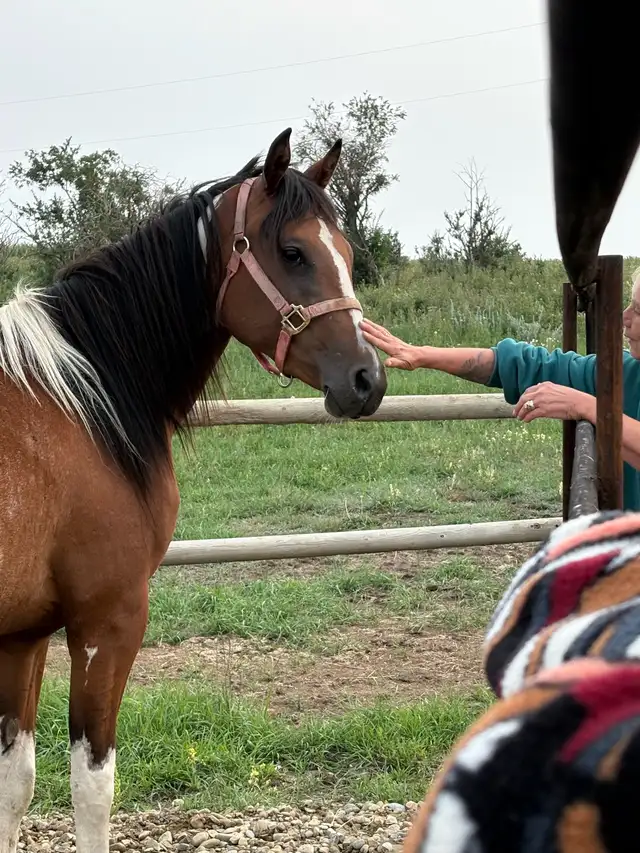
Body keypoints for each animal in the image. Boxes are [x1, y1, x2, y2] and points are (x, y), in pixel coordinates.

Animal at [0, 127, 387, 853]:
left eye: (349, 254)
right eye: (293, 251)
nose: (367, 379)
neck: (72, 404)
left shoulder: (23, 634)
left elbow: (14, 785)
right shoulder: (107, 621)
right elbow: (91, 788)